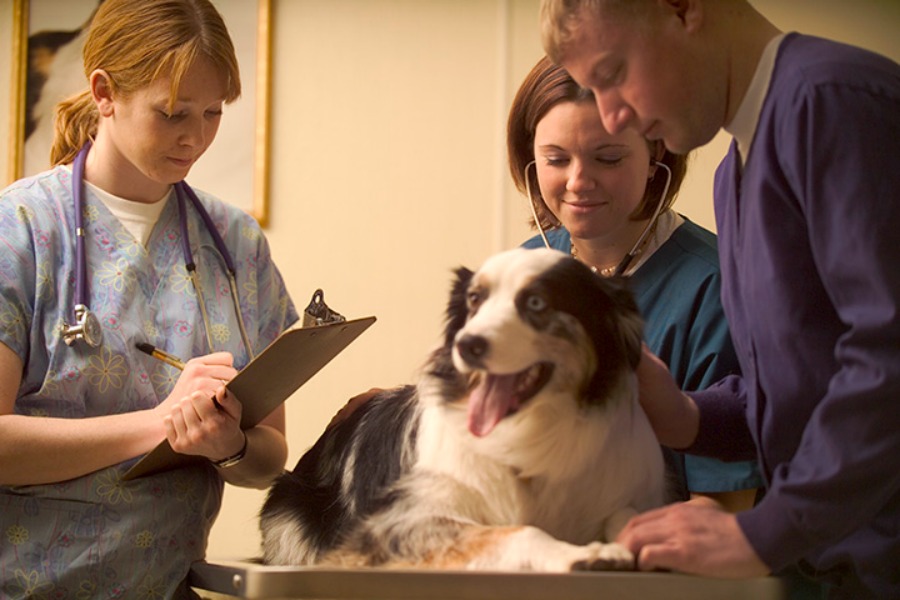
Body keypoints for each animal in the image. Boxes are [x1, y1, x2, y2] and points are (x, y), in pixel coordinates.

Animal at [256, 247, 664, 572]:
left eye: (536, 302)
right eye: (474, 301)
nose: (467, 344)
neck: (525, 431)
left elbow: (628, 514)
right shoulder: (399, 523)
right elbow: (520, 532)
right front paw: (579, 554)